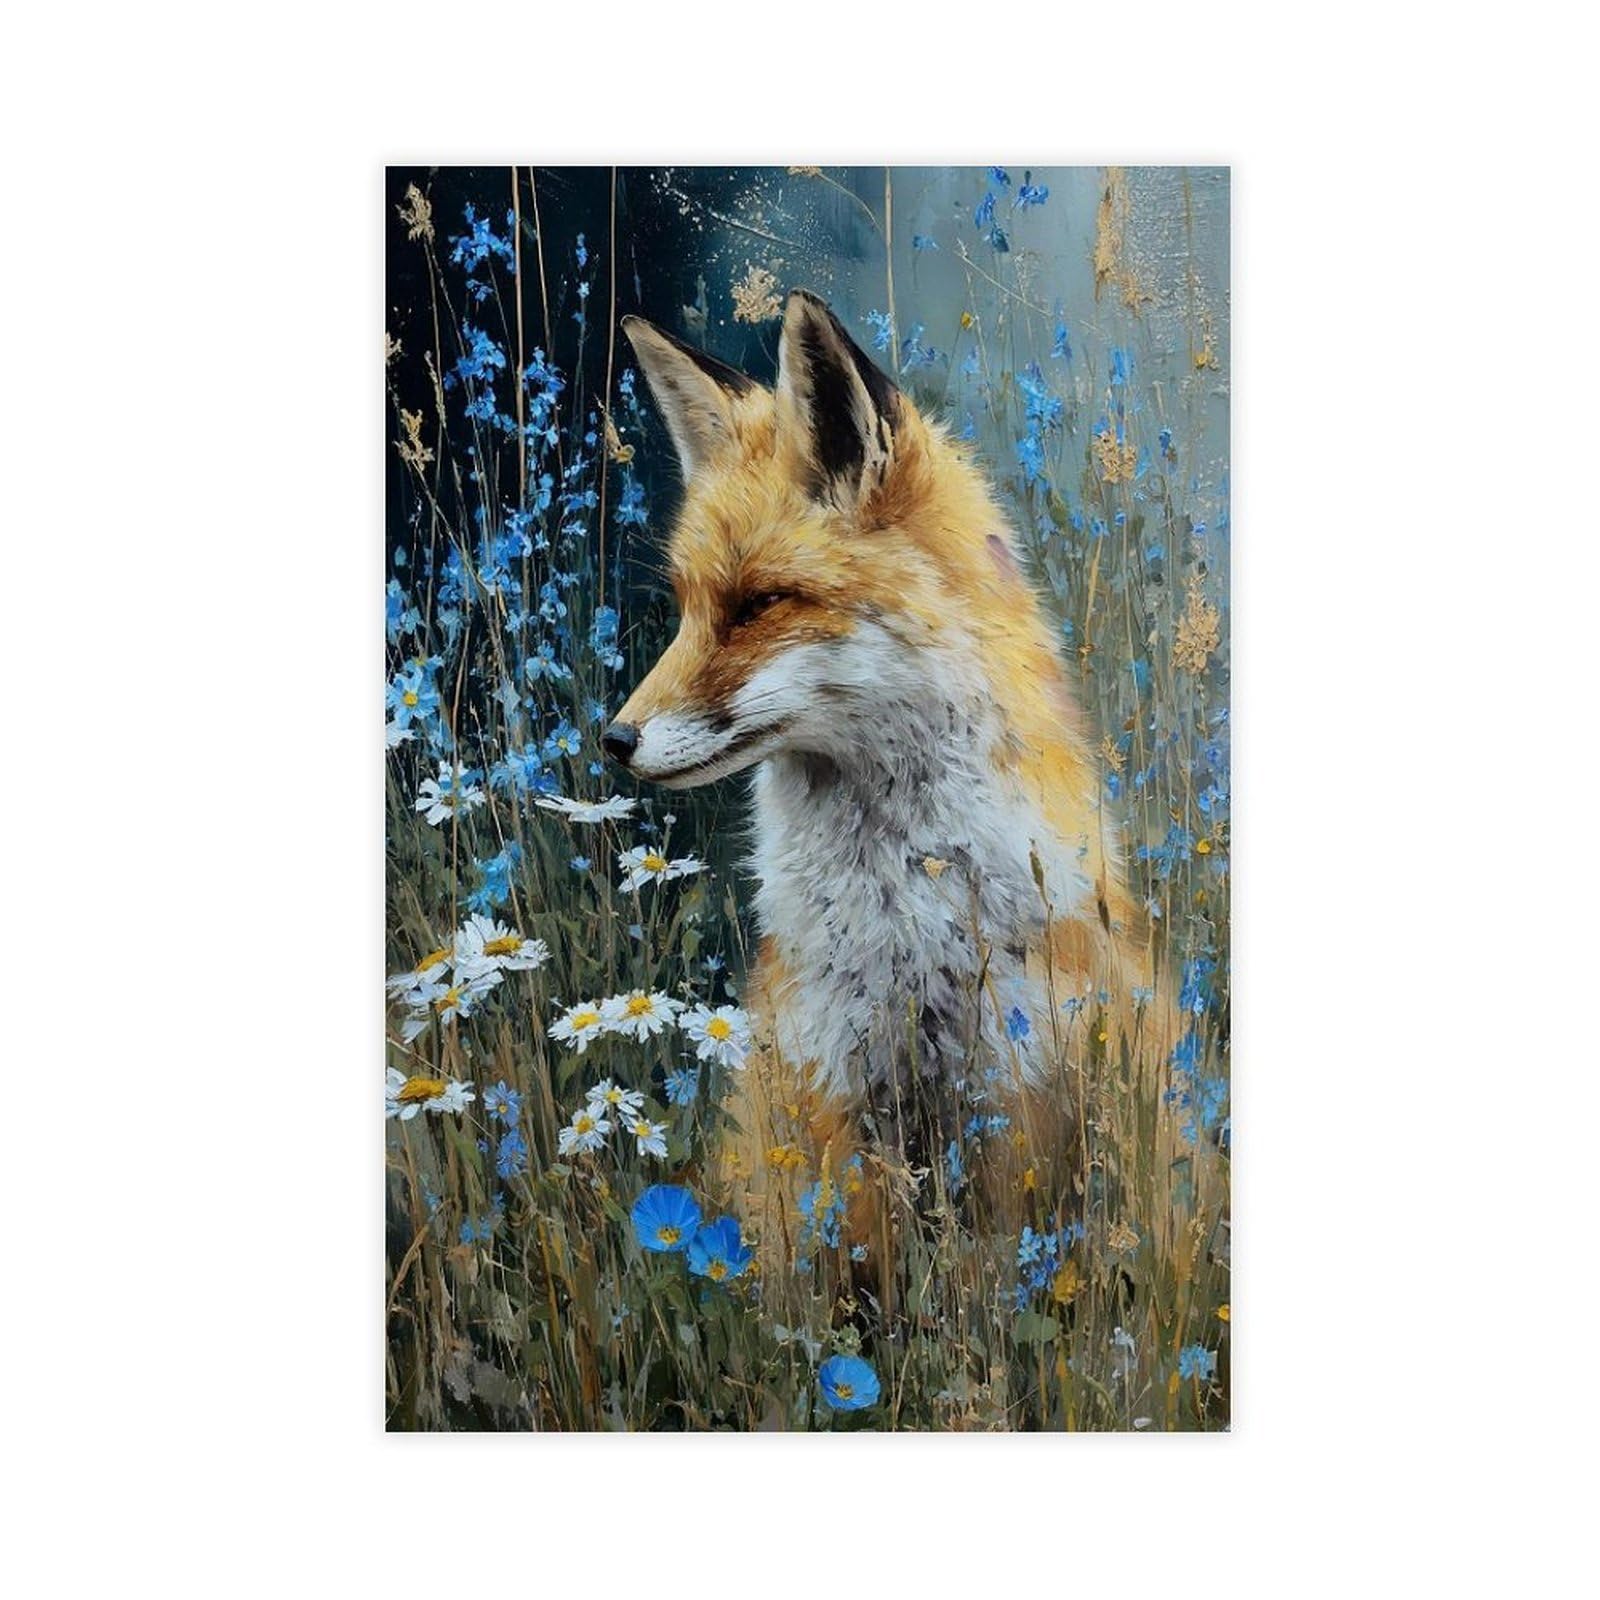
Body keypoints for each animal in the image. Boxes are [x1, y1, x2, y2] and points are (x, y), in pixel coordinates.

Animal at [606, 290, 1173, 1272]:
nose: (614, 740)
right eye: (687, 608)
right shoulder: (828, 1098)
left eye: (760, 605)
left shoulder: (1012, 1096)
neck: (900, 921)